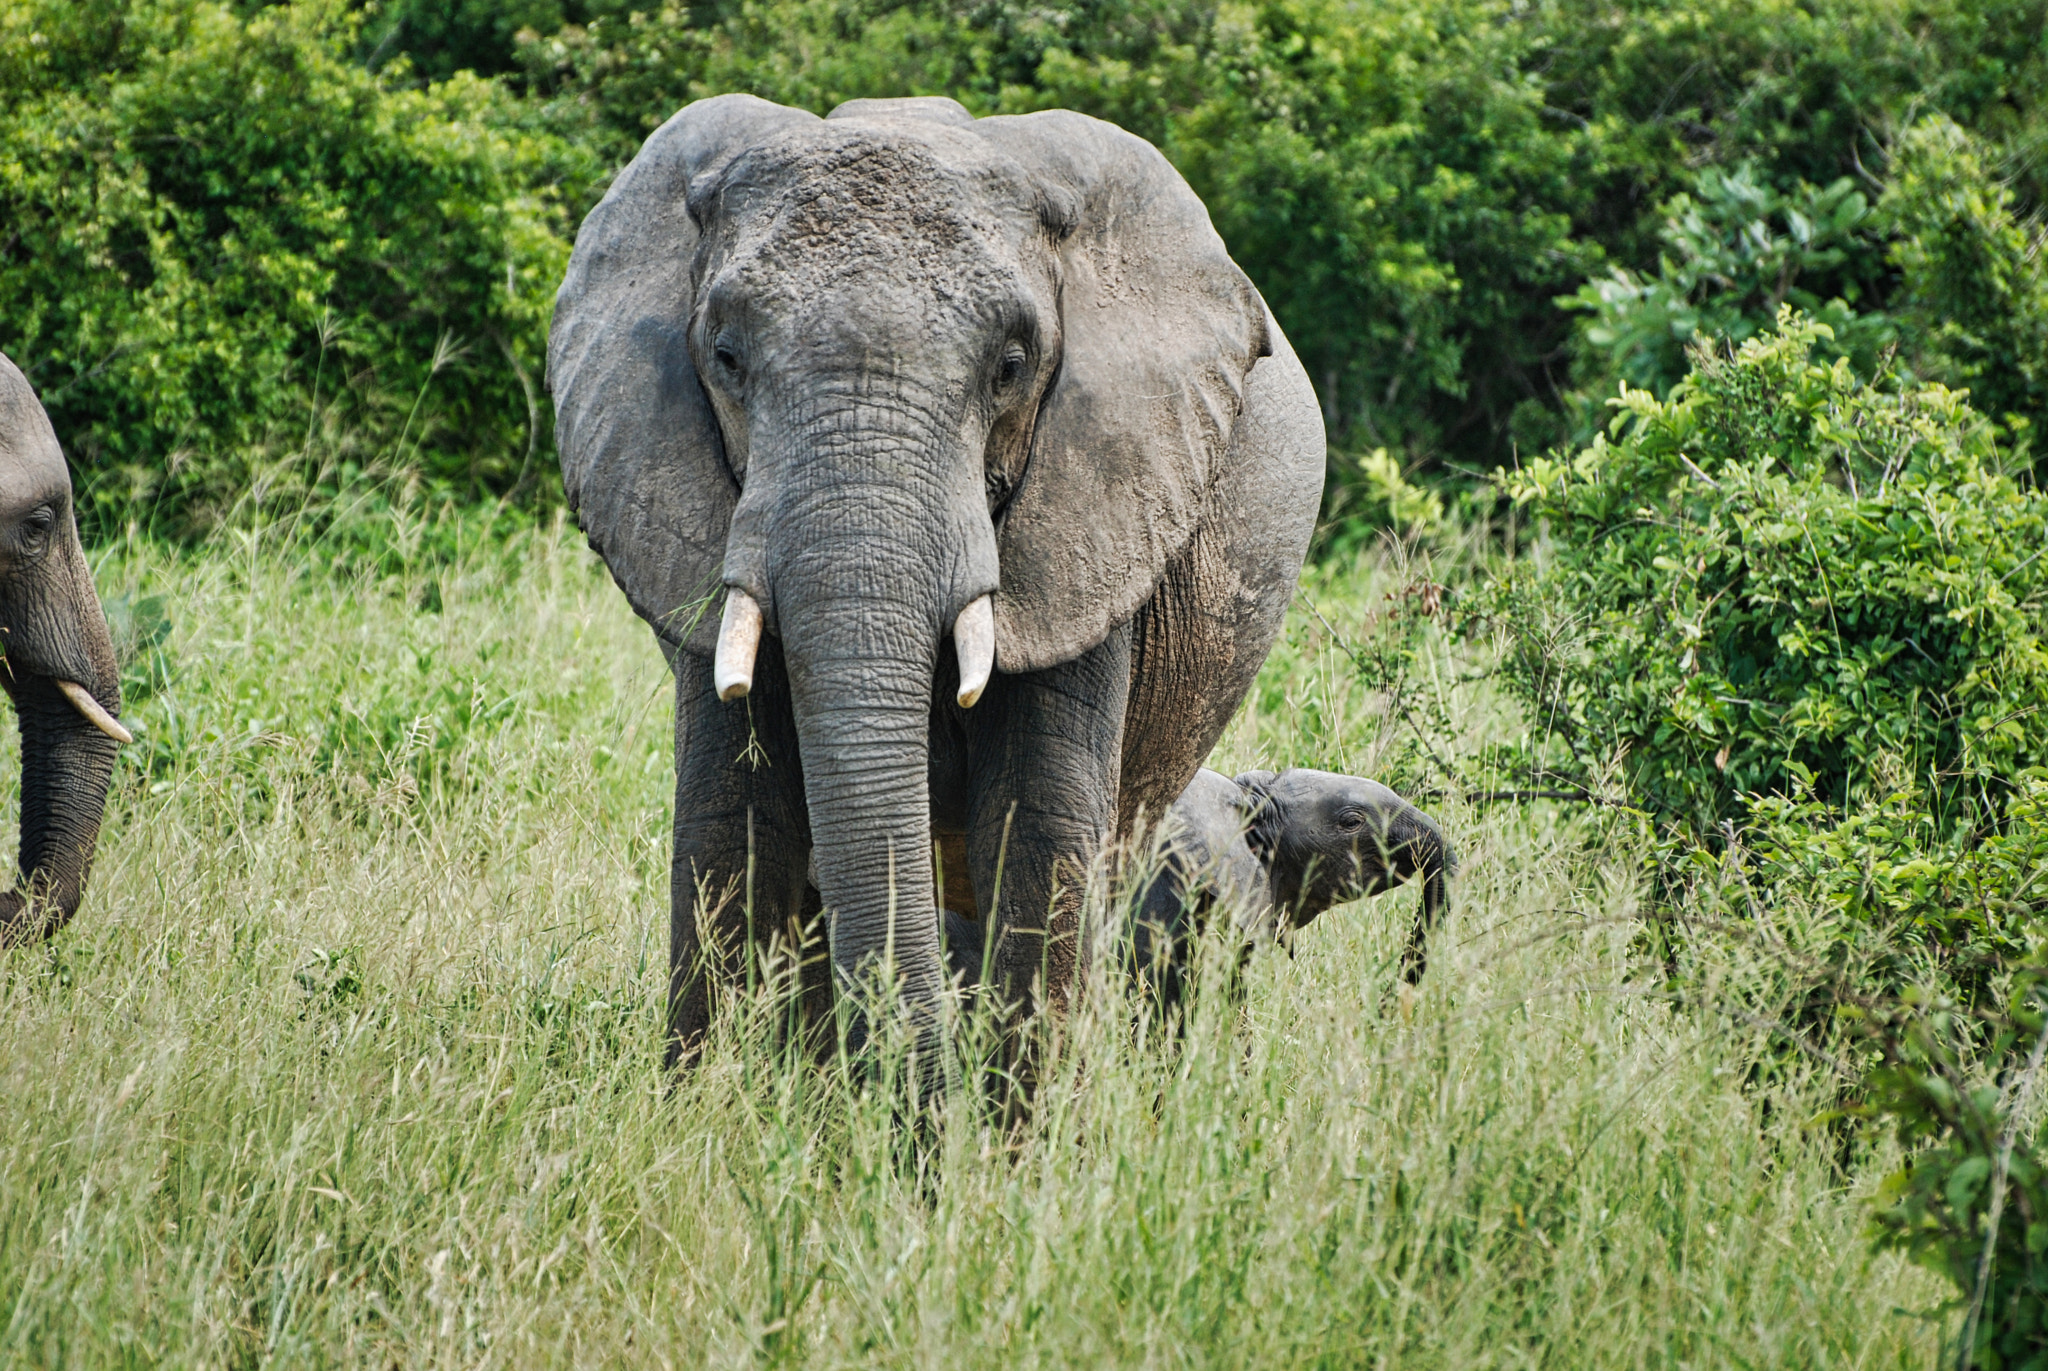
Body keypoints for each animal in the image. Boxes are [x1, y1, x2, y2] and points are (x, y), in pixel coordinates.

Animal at [552, 96, 1318, 1082]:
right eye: (724, 356)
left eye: (1012, 366)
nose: (914, 1099)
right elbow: (734, 823)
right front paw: (708, 1108)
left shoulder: (1104, 506)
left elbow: (1038, 828)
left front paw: (1020, 1125)